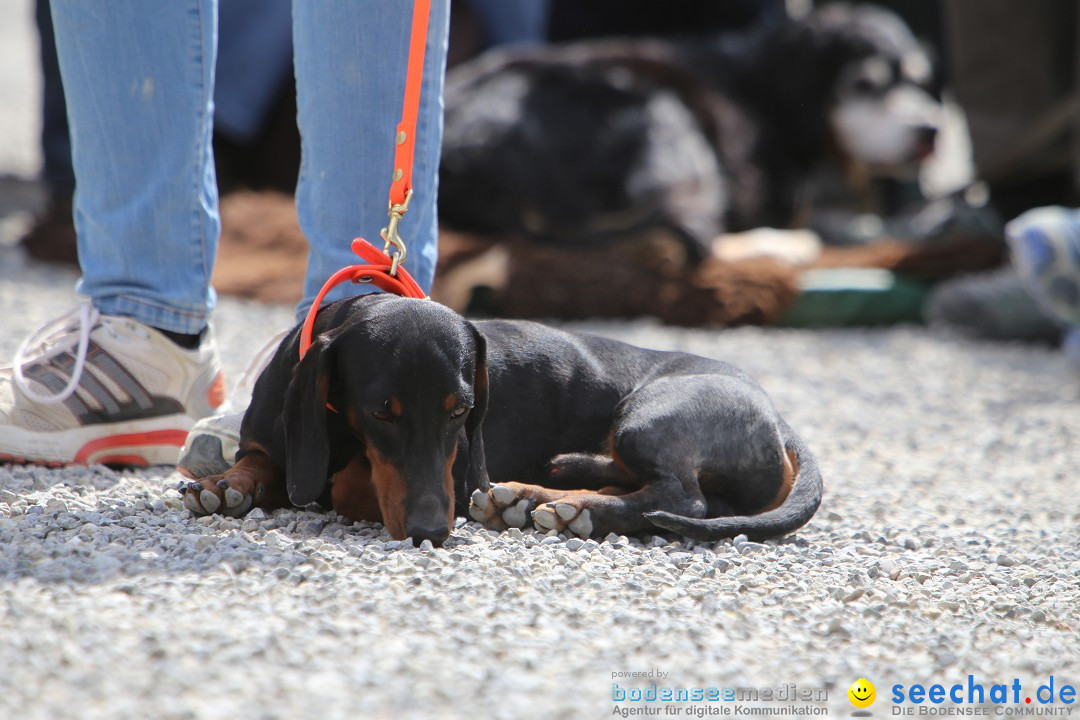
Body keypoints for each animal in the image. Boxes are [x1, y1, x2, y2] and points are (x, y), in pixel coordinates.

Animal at [438, 2, 946, 262]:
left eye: (918, 81)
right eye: (865, 85)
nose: (932, 131)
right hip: (661, 108)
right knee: (694, 232)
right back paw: (777, 245)